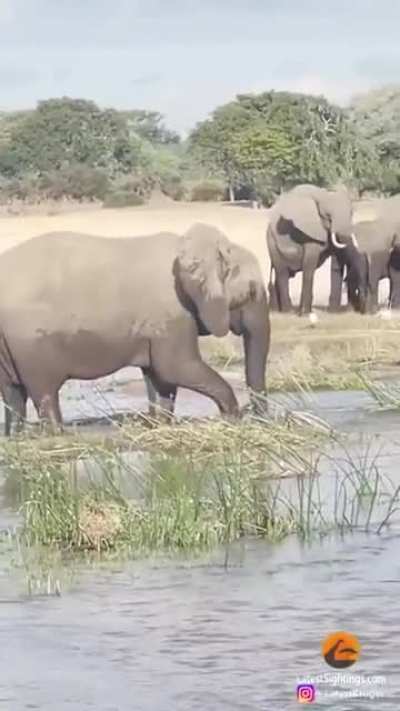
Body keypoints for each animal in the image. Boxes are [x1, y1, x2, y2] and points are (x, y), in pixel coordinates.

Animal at [0, 224, 270, 435]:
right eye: (251, 291)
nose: (260, 419)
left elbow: (160, 378)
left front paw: (160, 425)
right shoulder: (171, 313)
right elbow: (175, 367)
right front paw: (233, 419)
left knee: (13, 393)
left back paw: (15, 436)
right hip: (30, 343)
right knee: (43, 391)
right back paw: (58, 435)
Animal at [267, 184, 356, 315]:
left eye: (351, 213)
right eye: (328, 216)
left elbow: (336, 263)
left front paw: (333, 312)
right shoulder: (309, 232)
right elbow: (309, 267)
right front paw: (305, 313)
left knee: (285, 274)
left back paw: (277, 309)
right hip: (272, 241)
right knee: (282, 272)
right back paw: (287, 311)